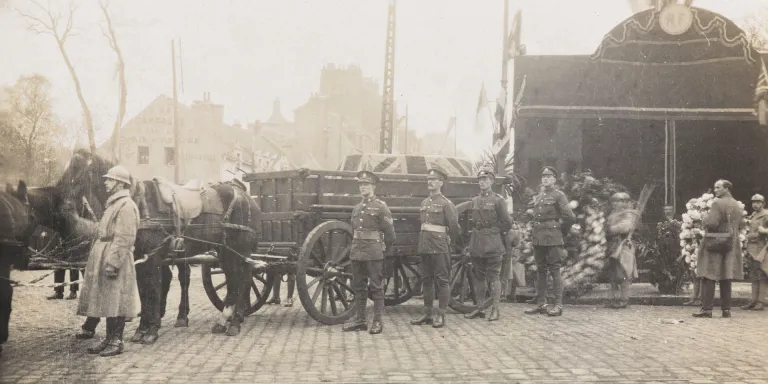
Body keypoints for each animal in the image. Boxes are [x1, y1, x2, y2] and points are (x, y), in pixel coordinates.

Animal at [51, 152, 260, 338]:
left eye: (77, 169)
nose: (60, 203)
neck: (139, 203)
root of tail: (246, 197)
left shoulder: (152, 258)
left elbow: (152, 289)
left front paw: (150, 331)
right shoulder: (140, 258)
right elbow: (145, 292)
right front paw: (142, 329)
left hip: (239, 250)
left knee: (242, 280)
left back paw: (234, 322)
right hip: (225, 252)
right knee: (234, 280)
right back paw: (223, 321)